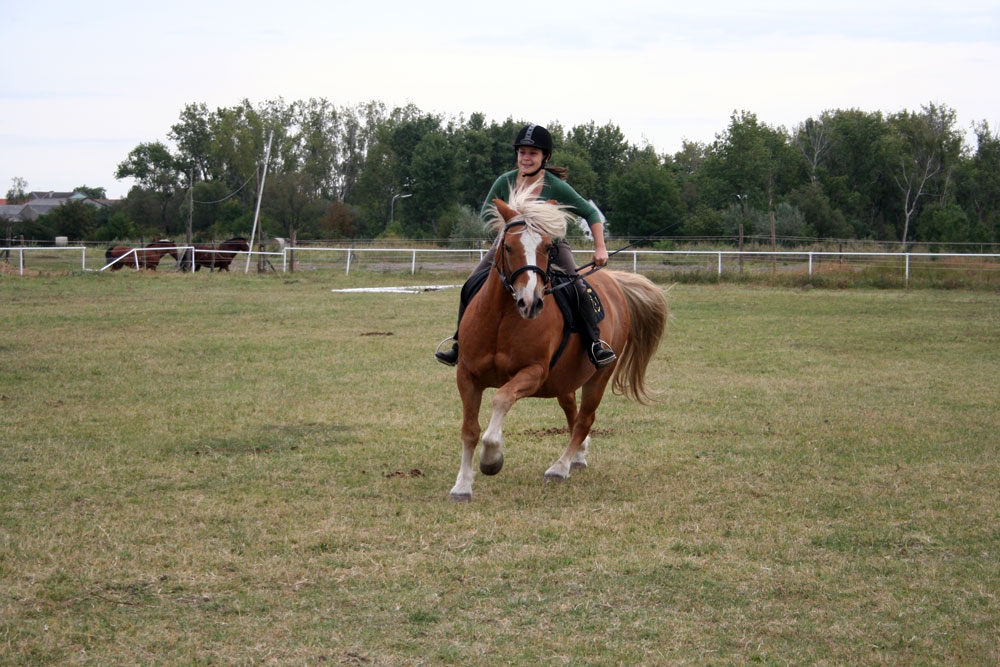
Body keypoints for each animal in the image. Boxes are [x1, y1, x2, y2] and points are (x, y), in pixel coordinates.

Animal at [450, 183, 668, 500]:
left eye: (547, 247)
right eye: (508, 247)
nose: (530, 302)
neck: (501, 319)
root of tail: (613, 280)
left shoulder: (533, 373)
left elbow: (501, 399)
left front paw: (491, 459)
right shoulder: (467, 375)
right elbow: (469, 429)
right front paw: (462, 485)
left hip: (599, 375)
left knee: (584, 419)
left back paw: (560, 467)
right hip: (564, 379)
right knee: (572, 412)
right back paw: (579, 454)